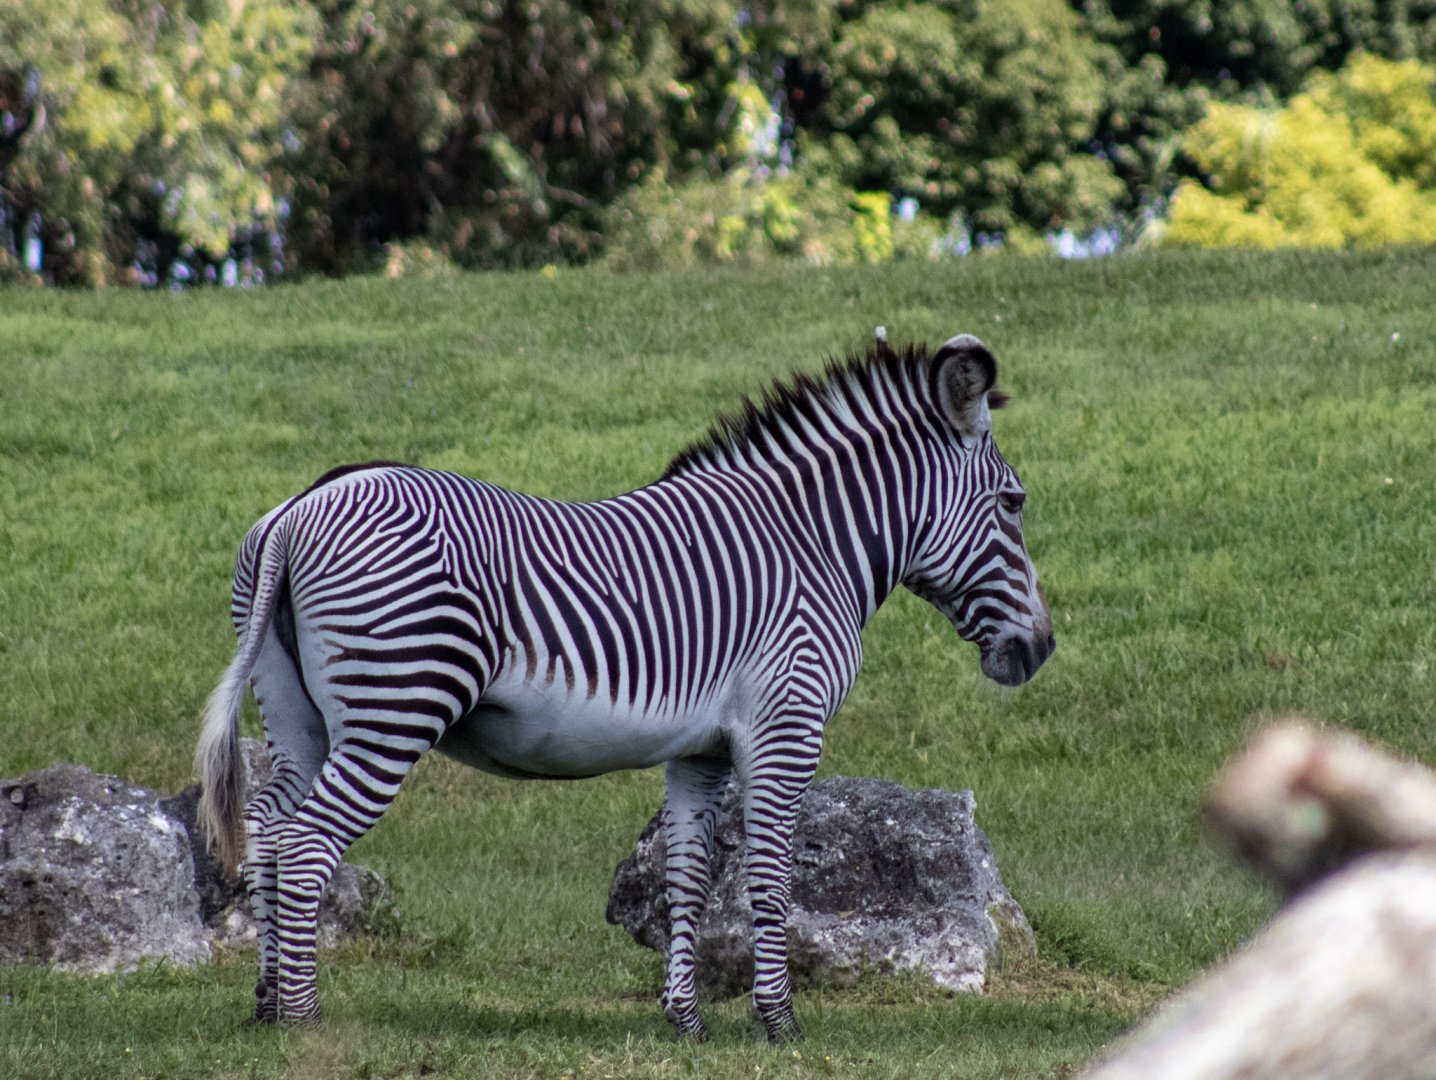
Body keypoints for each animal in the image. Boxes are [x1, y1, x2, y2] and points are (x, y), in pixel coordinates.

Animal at [196, 332, 1055, 1043]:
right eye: (1013, 503)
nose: (1041, 649)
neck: (811, 545)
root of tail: (299, 508)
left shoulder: (702, 749)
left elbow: (687, 879)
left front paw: (687, 1021)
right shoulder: (786, 722)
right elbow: (770, 878)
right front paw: (779, 1023)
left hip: (299, 717)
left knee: (268, 831)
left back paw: (265, 1007)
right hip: (394, 706)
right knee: (307, 843)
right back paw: (304, 1019)